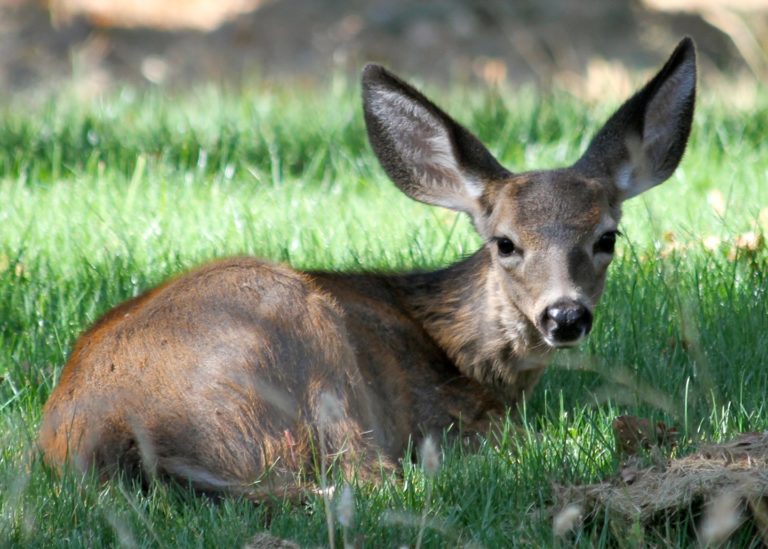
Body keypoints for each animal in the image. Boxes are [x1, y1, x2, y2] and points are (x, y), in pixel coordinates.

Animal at [39, 37, 696, 492]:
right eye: (505, 243)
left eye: (607, 237)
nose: (565, 315)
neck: (463, 355)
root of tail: (115, 433)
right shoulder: (441, 415)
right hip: (309, 355)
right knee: (364, 477)